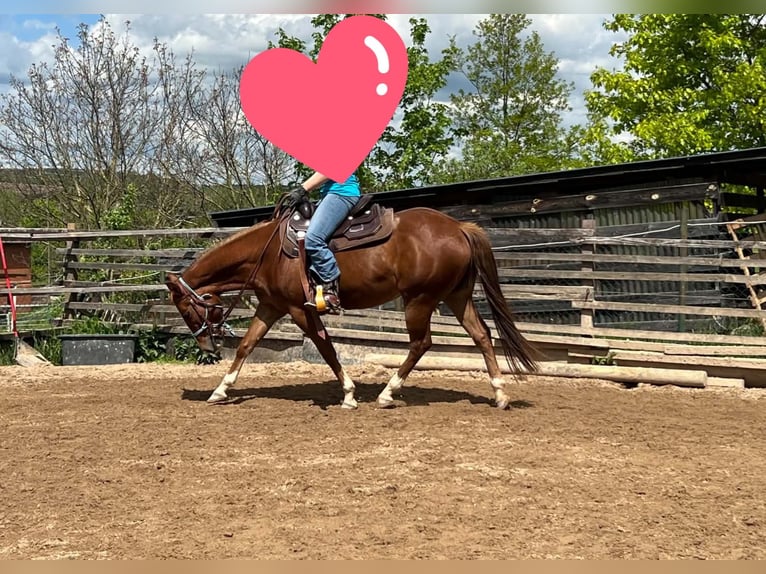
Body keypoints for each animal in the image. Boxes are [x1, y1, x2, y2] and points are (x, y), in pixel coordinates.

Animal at [165, 205, 540, 410]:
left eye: (185, 310)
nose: (206, 346)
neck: (267, 252)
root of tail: (459, 227)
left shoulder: (301, 309)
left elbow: (326, 348)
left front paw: (348, 394)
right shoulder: (272, 305)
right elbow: (247, 345)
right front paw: (220, 390)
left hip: (419, 300)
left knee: (421, 343)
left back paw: (388, 394)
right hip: (455, 296)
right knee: (482, 335)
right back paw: (500, 394)